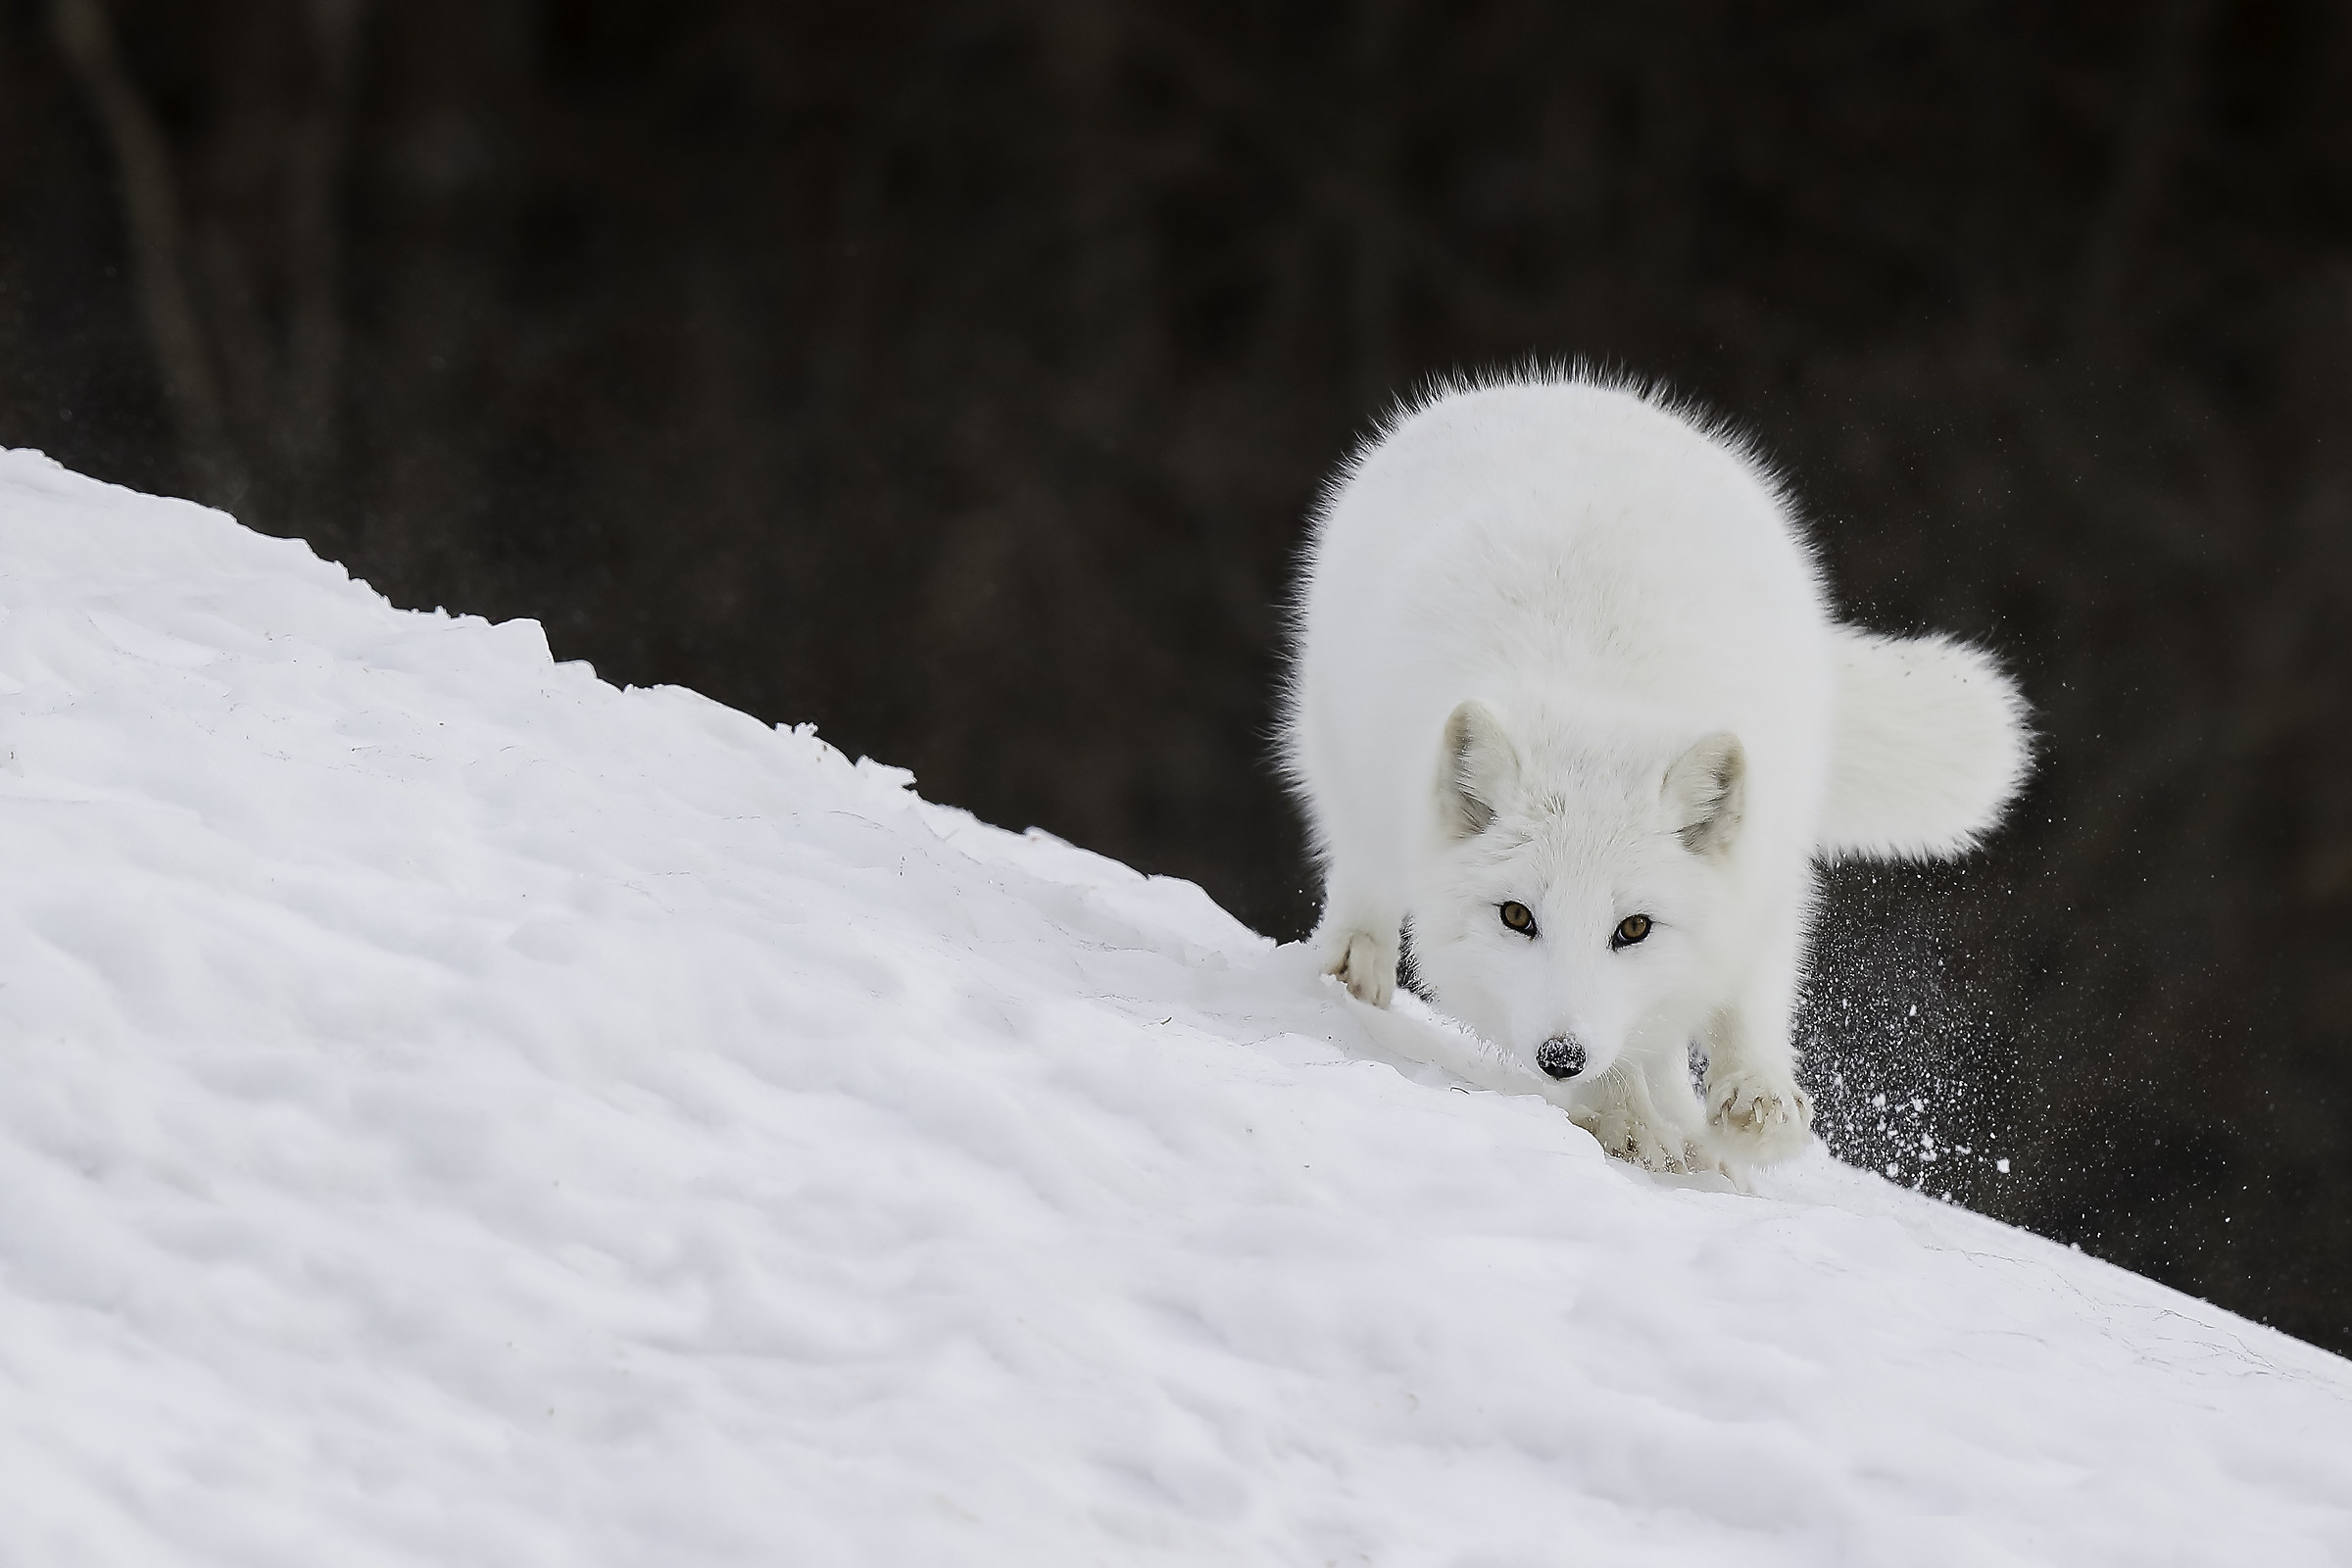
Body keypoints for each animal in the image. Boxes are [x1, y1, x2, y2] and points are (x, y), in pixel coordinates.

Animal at [1279, 371, 2030, 1172]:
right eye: (1516, 916)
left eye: (1634, 927)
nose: (1560, 1057)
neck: (1601, 697)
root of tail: (1556, 384)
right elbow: (1625, 1061)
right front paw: (1624, 1119)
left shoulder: (1766, 864)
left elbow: (1748, 991)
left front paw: (1756, 1099)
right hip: (1343, 760)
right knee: (1362, 869)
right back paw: (1355, 968)